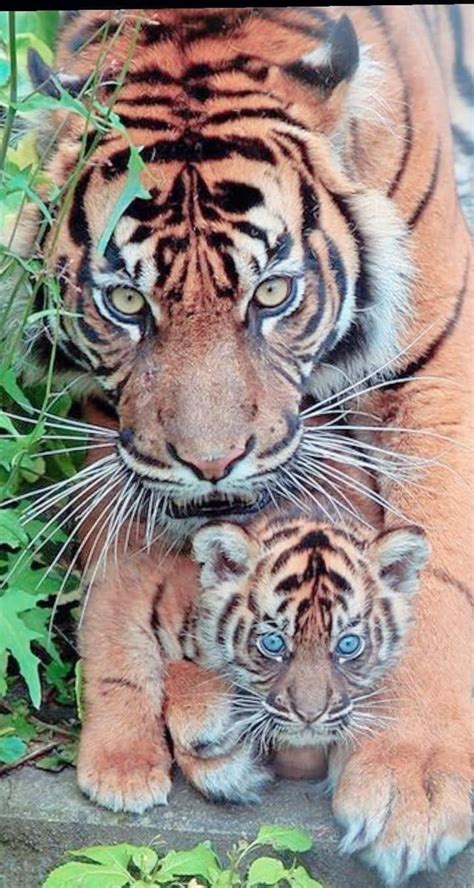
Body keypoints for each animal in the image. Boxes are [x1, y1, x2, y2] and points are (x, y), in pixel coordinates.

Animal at [18, 8, 470, 888]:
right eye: (127, 303)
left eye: (273, 293)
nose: (210, 462)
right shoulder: (108, 431)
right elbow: (123, 577)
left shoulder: (441, 367)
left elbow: (435, 574)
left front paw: (410, 783)